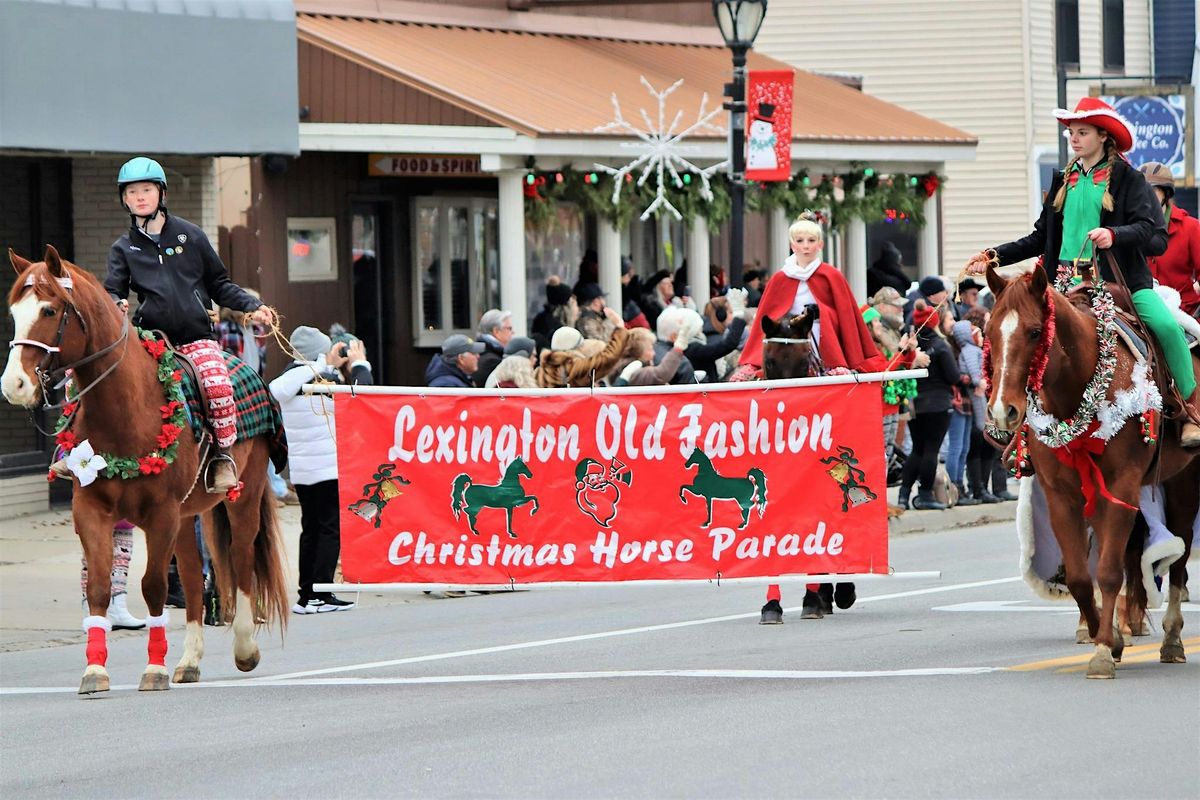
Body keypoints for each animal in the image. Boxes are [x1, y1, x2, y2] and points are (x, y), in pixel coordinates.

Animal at [2, 247, 288, 690]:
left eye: (49, 310)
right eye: (14, 312)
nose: (13, 384)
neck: (127, 408)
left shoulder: (161, 513)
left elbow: (153, 586)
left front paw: (154, 669)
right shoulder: (91, 510)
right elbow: (99, 587)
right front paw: (95, 670)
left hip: (242, 497)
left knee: (240, 562)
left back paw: (244, 649)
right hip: (189, 516)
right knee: (193, 577)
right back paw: (189, 660)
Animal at [984, 266, 1200, 681]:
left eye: (1035, 331)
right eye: (988, 331)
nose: (1003, 411)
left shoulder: (1122, 486)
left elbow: (1110, 571)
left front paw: (1102, 650)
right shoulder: (1062, 495)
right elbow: (1082, 578)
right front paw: (1108, 638)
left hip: (1183, 482)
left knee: (1179, 559)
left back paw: (1172, 639)